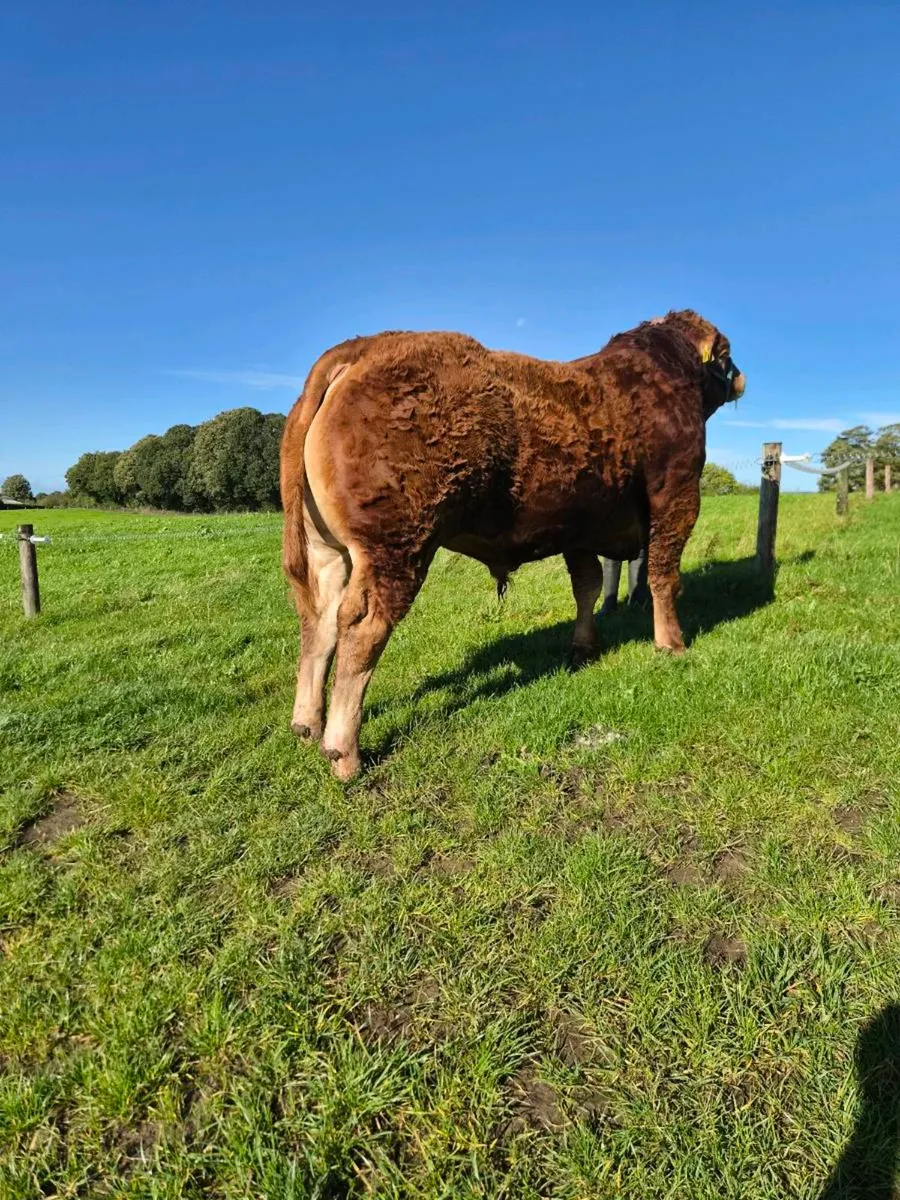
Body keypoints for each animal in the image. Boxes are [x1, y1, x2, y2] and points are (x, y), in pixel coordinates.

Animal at [280, 310, 745, 780]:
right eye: (726, 354)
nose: (740, 377)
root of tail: (365, 346)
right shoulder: (678, 496)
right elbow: (663, 575)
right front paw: (672, 643)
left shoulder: (578, 525)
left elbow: (589, 586)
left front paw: (584, 647)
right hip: (396, 548)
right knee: (361, 628)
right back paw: (343, 750)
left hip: (328, 551)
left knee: (318, 619)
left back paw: (307, 724)